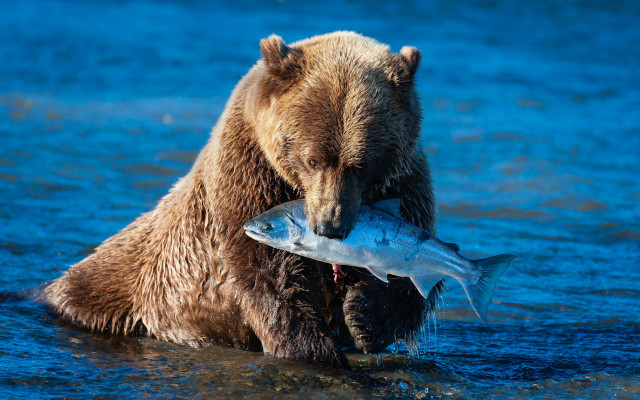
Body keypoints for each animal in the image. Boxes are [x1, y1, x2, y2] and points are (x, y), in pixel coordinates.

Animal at [42, 31, 441, 369]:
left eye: (361, 165)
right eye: (313, 160)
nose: (331, 226)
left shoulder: (404, 182)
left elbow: (415, 268)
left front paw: (362, 315)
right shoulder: (249, 176)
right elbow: (270, 274)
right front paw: (315, 350)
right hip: (125, 284)